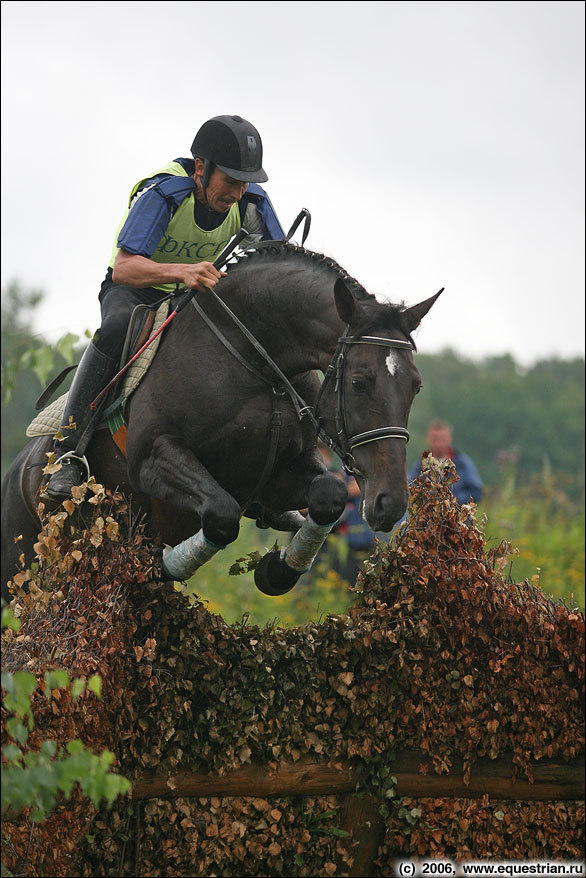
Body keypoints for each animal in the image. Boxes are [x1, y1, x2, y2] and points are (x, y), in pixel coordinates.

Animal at [0, 244, 438, 604]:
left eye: (416, 386)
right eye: (360, 382)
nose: (390, 503)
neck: (254, 356)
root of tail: (18, 468)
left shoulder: (276, 475)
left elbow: (328, 496)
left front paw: (278, 571)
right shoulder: (153, 459)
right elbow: (221, 514)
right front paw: (161, 567)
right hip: (21, 566)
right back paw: (66, 474)